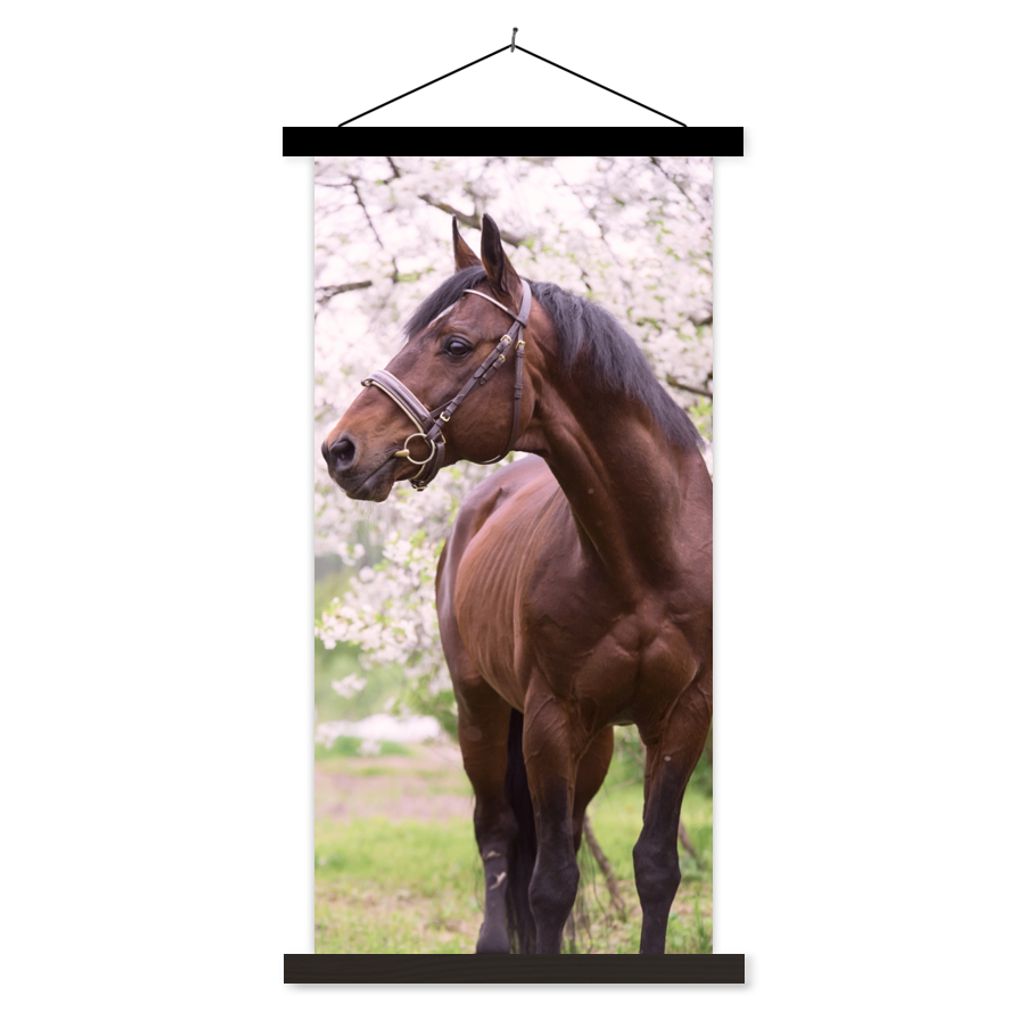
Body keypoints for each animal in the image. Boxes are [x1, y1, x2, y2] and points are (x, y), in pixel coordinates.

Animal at [321, 215, 712, 955]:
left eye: (453, 343)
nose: (340, 449)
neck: (645, 561)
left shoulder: (682, 718)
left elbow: (655, 868)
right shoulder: (551, 721)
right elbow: (550, 884)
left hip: (593, 742)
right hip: (481, 712)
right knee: (499, 834)